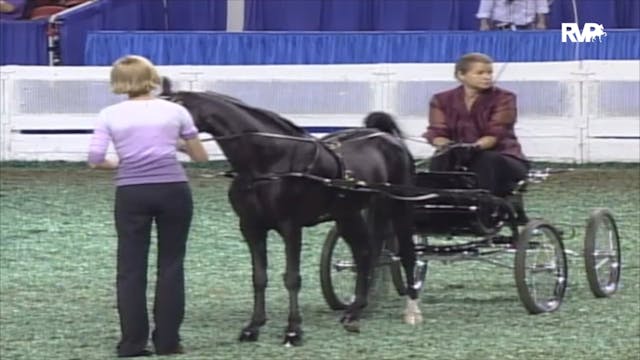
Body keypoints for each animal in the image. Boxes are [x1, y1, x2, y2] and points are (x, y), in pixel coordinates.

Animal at [161, 79, 420, 346]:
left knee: (407, 252)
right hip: (347, 214)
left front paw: (293, 331)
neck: (270, 162)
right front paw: (253, 327)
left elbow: (292, 278)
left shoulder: (290, 226)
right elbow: (259, 277)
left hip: (399, 206)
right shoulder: (251, 227)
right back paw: (354, 312)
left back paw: (411, 310)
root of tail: (387, 138)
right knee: (365, 253)